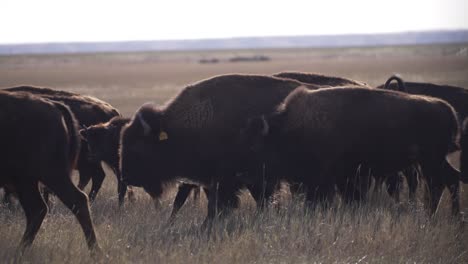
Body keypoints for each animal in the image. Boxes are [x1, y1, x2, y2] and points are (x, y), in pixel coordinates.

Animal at [241, 86, 460, 217]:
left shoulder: (331, 179)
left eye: (255, 147)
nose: (248, 178)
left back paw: (434, 215)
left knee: (439, 184)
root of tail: (448, 110)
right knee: (450, 180)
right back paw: (451, 216)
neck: (290, 129)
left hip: (430, 161)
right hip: (433, 161)